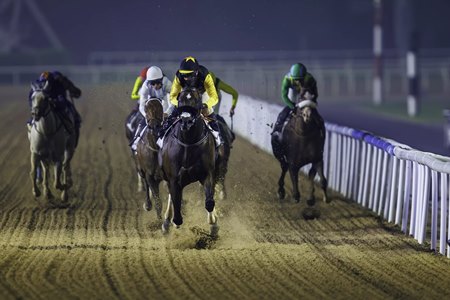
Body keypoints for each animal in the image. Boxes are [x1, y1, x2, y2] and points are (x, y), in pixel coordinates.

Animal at [160, 86, 218, 234]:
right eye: (180, 99)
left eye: (197, 100)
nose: (186, 121)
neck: (188, 143)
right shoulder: (174, 179)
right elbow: (176, 206)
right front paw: (173, 222)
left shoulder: (207, 173)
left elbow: (209, 202)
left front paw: (213, 223)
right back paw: (167, 222)